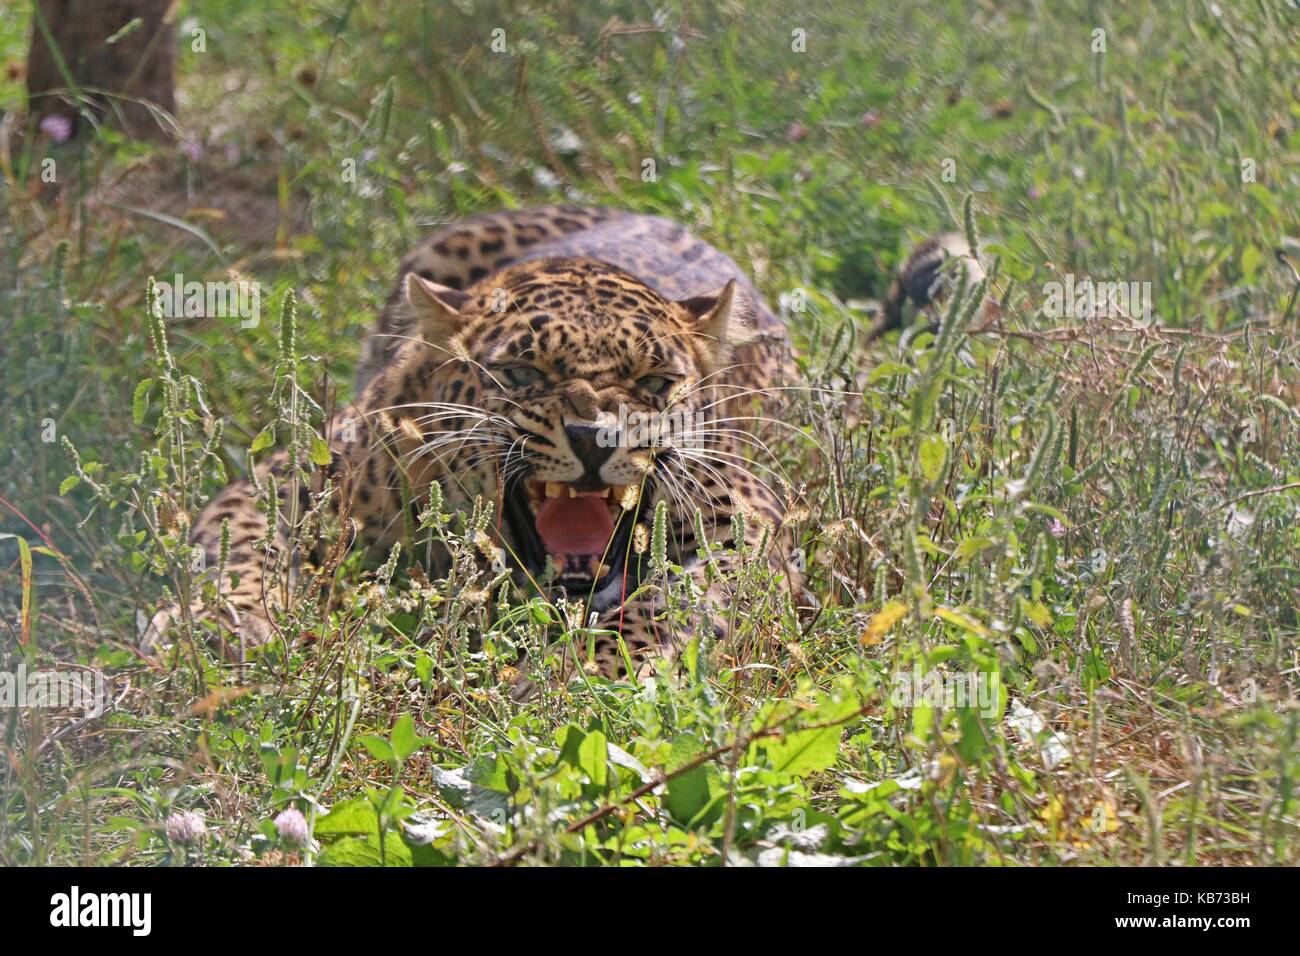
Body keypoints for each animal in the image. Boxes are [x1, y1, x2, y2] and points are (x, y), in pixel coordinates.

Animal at [142, 204, 803, 683]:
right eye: (523, 373)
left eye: (655, 383)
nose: (595, 437)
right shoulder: (297, 474)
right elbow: (238, 546)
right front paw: (224, 625)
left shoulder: (745, 508)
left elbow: (673, 602)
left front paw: (589, 670)